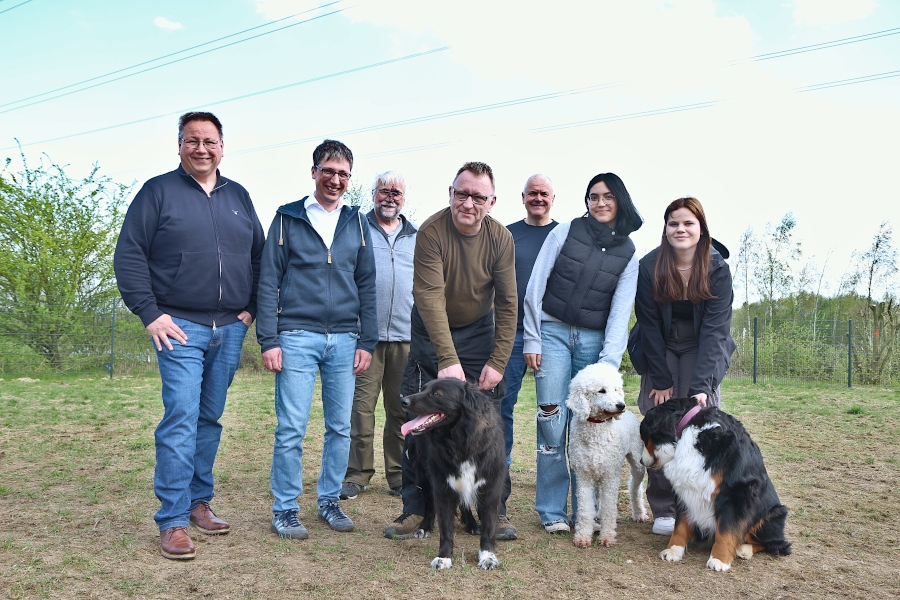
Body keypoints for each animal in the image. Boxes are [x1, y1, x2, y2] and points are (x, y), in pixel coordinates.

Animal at [400, 378, 506, 568]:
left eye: (436, 394)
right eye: (422, 388)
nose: (403, 401)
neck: (459, 442)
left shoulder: (490, 487)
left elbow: (488, 527)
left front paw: (487, 556)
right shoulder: (443, 485)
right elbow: (445, 526)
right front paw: (444, 557)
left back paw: (471, 524)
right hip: (426, 475)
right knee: (429, 502)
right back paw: (425, 528)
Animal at [564, 360, 648, 548]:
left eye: (616, 389)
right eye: (601, 390)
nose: (621, 405)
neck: (597, 428)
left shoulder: (611, 476)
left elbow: (610, 509)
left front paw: (607, 537)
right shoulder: (584, 476)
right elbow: (585, 509)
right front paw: (583, 537)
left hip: (638, 463)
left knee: (635, 487)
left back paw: (639, 514)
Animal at [636, 398, 792, 572]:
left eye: (644, 437)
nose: (641, 460)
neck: (689, 432)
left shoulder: (733, 493)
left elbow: (726, 530)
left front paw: (719, 559)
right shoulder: (684, 490)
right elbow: (680, 525)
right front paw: (674, 550)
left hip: (772, 514)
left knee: (776, 544)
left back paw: (744, 549)